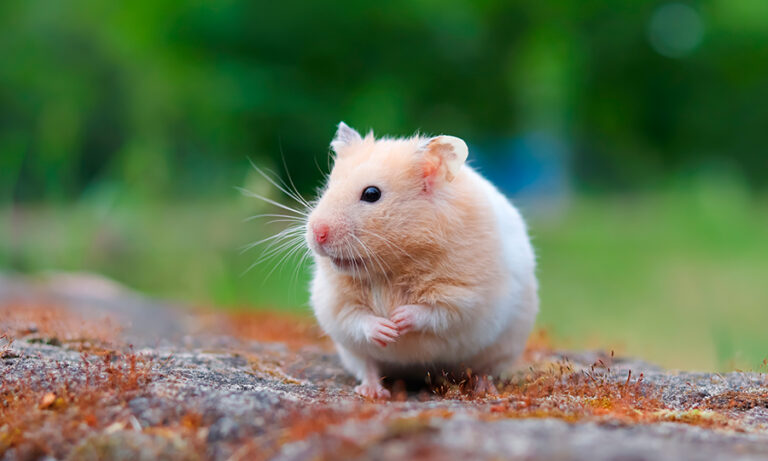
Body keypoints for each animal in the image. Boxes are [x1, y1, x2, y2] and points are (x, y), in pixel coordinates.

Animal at [306, 122, 538, 399]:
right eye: (328, 187)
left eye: (371, 194)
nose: (317, 233)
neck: (392, 266)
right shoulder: (335, 302)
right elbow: (356, 318)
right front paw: (387, 329)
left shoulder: (466, 298)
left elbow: (435, 312)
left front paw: (398, 318)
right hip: (351, 352)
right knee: (367, 365)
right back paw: (373, 392)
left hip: (502, 347)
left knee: (484, 369)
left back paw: (484, 389)